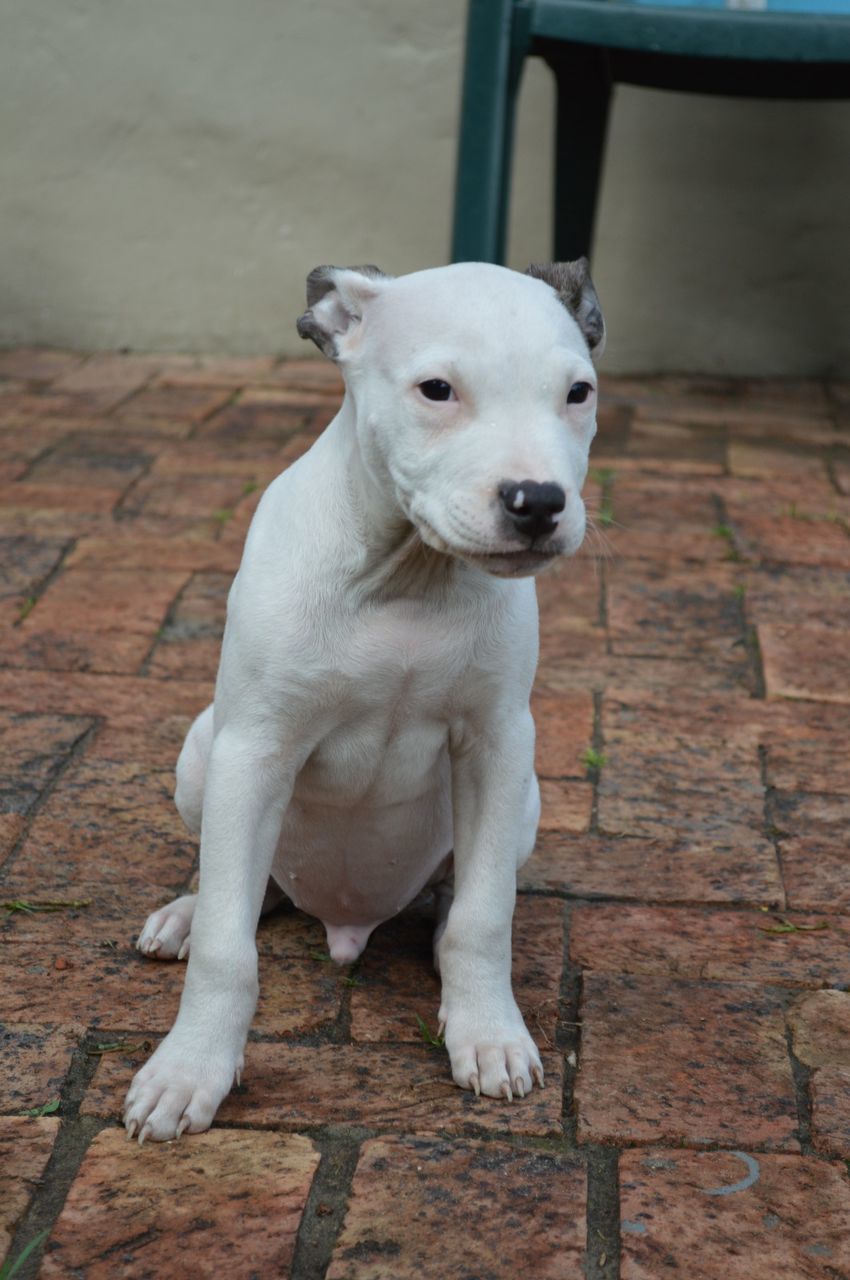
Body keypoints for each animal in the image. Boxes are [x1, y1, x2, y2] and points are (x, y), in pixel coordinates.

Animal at [124, 257, 604, 1141]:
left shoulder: (497, 746)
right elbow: (227, 949)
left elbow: (487, 915)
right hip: (202, 754)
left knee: (457, 896)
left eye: (578, 392)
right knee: (241, 888)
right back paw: (187, 912)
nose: (538, 502)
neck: (406, 578)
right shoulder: (256, 748)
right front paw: (188, 1071)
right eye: (437, 390)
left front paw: (488, 1032)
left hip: (525, 799)